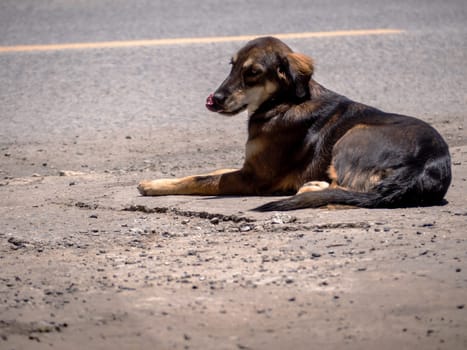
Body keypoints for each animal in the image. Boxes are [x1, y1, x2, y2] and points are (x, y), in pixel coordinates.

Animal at [137, 37, 452, 211]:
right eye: (232, 65)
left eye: (253, 72)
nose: (214, 99)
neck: (282, 102)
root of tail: (424, 164)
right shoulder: (249, 166)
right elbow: (211, 170)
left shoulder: (254, 178)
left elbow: (201, 180)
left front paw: (153, 185)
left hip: (354, 135)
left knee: (352, 187)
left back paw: (312, 188)